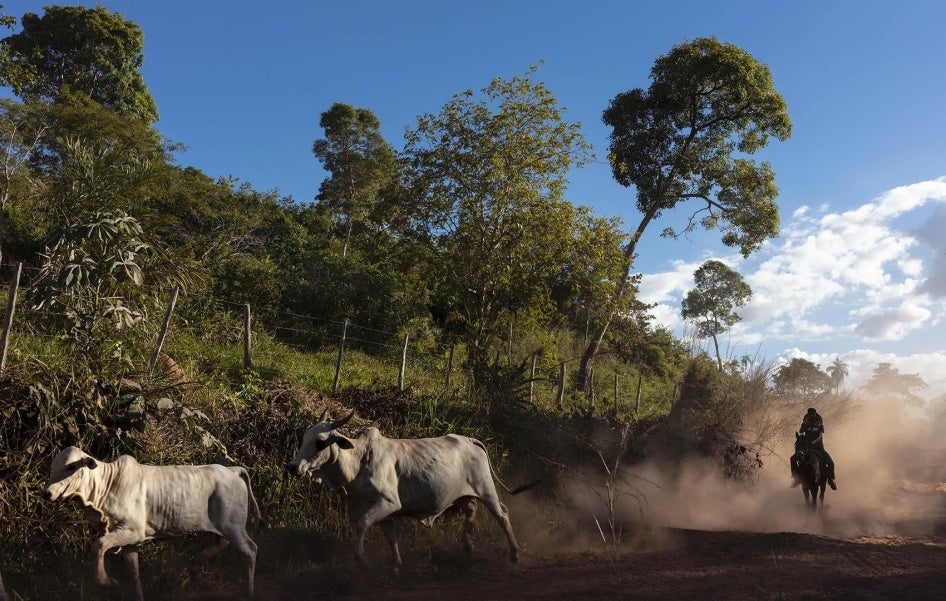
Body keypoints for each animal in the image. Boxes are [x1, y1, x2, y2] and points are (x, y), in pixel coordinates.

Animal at [44, 448, 258, 596]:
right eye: (52, 467)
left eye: (71, 467)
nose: (47, 492)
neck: (106, 486)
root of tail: (232, 470)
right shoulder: (129, 541)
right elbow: (134, 574)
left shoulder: (132, 530)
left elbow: (99, 546)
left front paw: (108, 582)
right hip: (226, 527)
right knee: (223, 543)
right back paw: (194, 570)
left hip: (233, 525)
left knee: (250, 549)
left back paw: (249, 592)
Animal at [288, 410, 536, 568]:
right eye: (304, 438)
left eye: (320, 442)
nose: (293, 466)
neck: (359, 461)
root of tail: (470, 439)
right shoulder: (384, 512)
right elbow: (391, 537)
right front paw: (397, 564)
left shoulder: (388, 502)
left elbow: (362, 524)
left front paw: (362, 560)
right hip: (464, 496)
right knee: (471, 511)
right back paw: (467, 547)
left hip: (486, 489)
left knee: (502, 514)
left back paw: (514, 555)